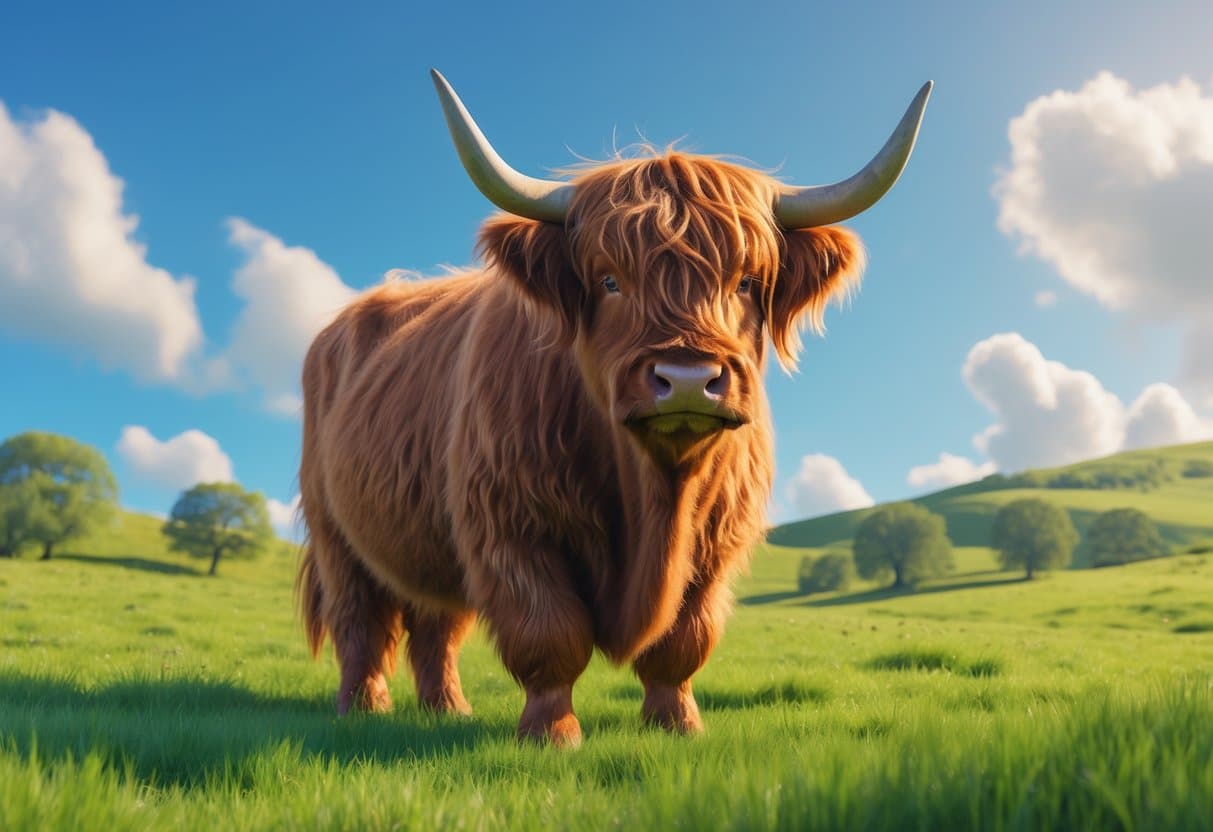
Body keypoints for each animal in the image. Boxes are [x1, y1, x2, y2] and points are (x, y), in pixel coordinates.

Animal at [297, 69, 931, 747]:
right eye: (608, 281)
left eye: (745, 282)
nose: (687, 379)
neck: (653, 494)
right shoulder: (511, 527)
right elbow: (550, 635)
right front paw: (551, 735)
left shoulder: (716, 543)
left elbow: (683, 640)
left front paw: (677, 724)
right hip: (337, 535)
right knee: (361, 622)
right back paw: (362, 709)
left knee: (435, 625)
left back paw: (447, 709)